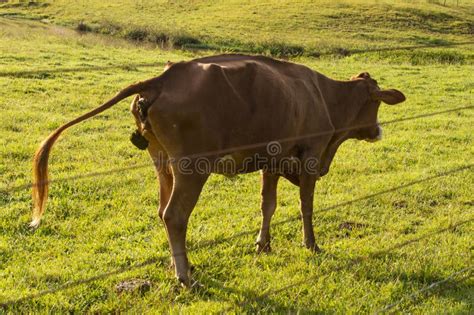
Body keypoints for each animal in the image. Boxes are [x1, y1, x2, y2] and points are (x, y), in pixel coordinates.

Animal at [31, 53, 406, 286]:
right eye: (376, 103)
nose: (377, 131)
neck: (324, 95)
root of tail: (165, 76)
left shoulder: (272, 159)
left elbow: (268, 204)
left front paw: (263, 244)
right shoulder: (311, 156)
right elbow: (306, 206)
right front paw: (311, 245)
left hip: (162, 162)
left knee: (162, 210)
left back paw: (178, 264)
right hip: (191, 168)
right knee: (174, 215)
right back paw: (185, 276)